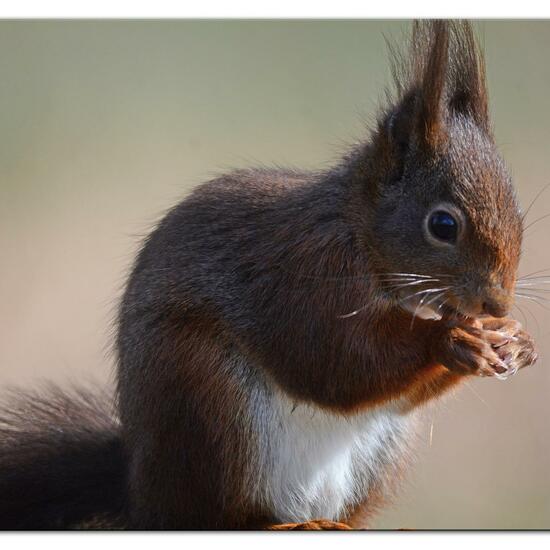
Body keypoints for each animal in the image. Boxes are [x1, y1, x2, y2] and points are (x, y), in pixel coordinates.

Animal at [0, 20, 540, 532]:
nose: (497, 304)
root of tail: (139, 490)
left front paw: (515, 341)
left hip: (380, 451)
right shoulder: (299, 276)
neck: (357, 232)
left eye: (517, 211)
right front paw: (450, 339)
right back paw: (280, 521)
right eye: (443, 225)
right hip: (209, 404)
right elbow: (334, 361)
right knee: (217, 515)